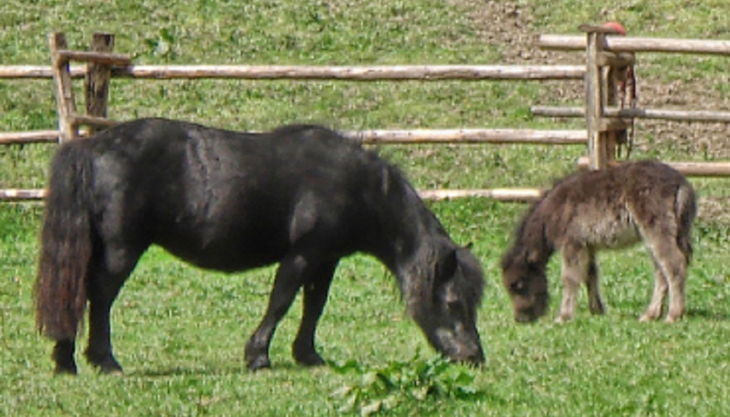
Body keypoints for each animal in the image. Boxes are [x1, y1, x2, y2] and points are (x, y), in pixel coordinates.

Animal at [34, 117, 485, 375]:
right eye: (451, 302)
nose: (473, 358)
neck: (358, 187)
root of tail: (91, 146)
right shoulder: (303, 254)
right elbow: (281, 302)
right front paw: (258, 357)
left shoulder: (326, 260)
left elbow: (313, 306)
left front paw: (308, 355)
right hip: (122, 249)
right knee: (99, 296)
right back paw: (101, 360)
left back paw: (66, 360)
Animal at [501, 160, 696, 323]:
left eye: (518, 284)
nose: (521, 318)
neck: (553, 212)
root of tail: (681, 184)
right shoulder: (588, 245)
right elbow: (590, 275)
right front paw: (597, 310)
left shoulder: (572, 243)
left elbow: (570, 278)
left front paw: (563, 316)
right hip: (667, 233)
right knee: (661, 269)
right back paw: (650, 314)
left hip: (656, 230)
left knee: (673, 264)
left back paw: (673, 315)